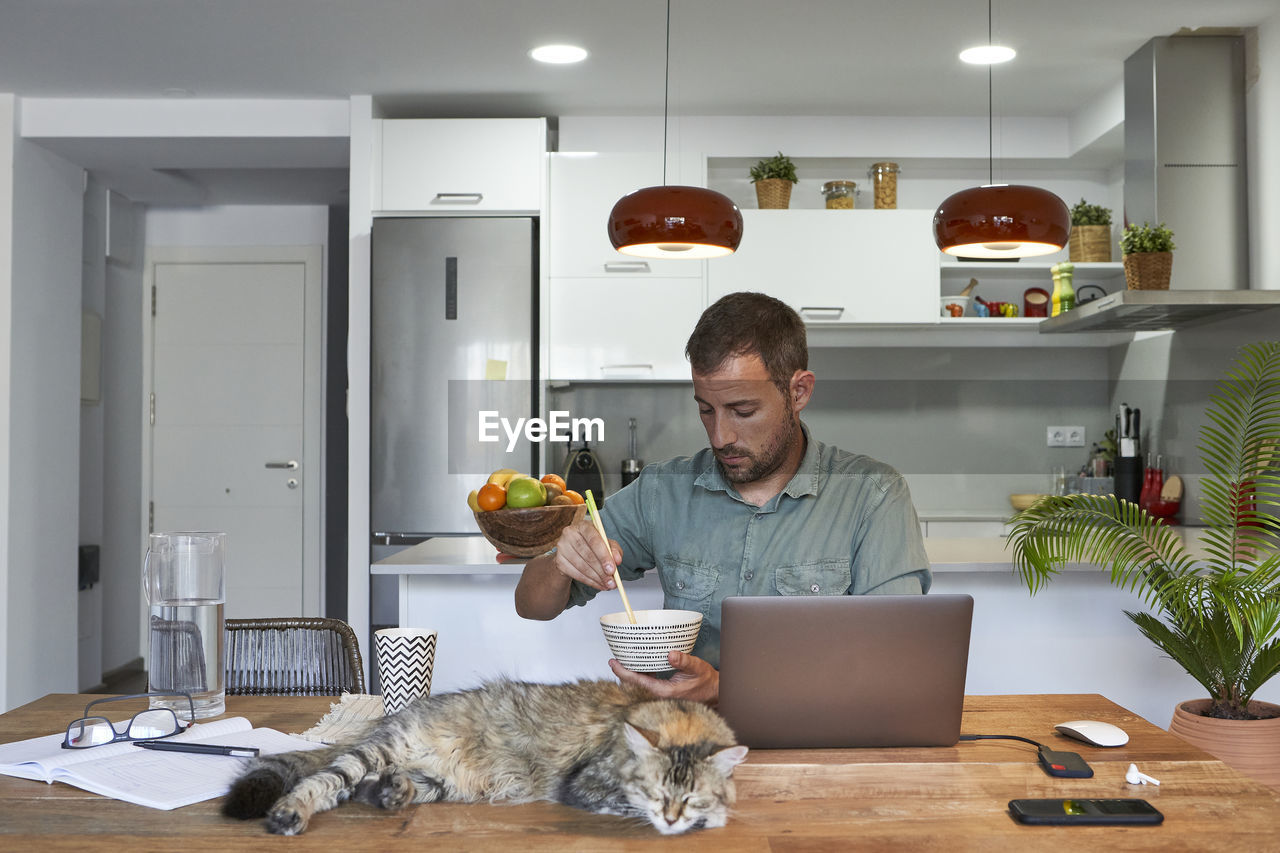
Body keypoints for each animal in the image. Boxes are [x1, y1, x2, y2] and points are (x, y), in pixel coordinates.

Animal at [222, 676, 747, 829]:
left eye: (691, 794)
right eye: (656, 790)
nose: (675, 817)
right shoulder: (586, 785)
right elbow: (624, 803)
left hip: (442, 783)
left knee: (374, 788)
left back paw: (392, 793)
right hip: (378, 752)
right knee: (324, 782)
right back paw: (290, 814)